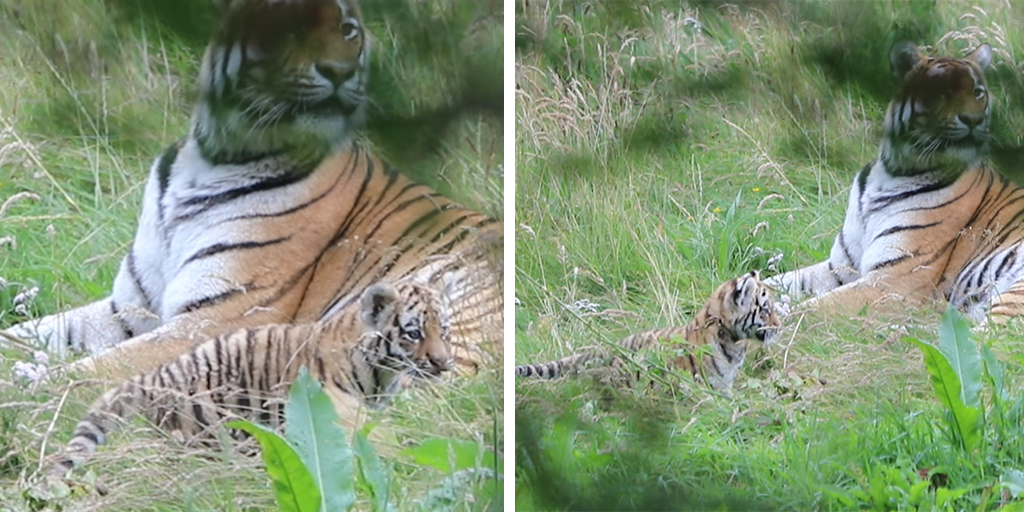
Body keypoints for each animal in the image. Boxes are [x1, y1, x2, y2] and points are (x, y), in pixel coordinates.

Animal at [0, 0, 501, 376]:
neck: (213, 157)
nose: (340, 71)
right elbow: (30, 333)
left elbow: (97, 371)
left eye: (348, 30)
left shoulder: (218, 316)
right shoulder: (129, 307)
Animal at [765, 44, 1024, 323]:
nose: (974, 119)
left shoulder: (894, 279)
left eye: (978, 93)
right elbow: (774, 281)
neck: (893, 171)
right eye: (942, 91)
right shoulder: (840, 266)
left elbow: (816, 307)